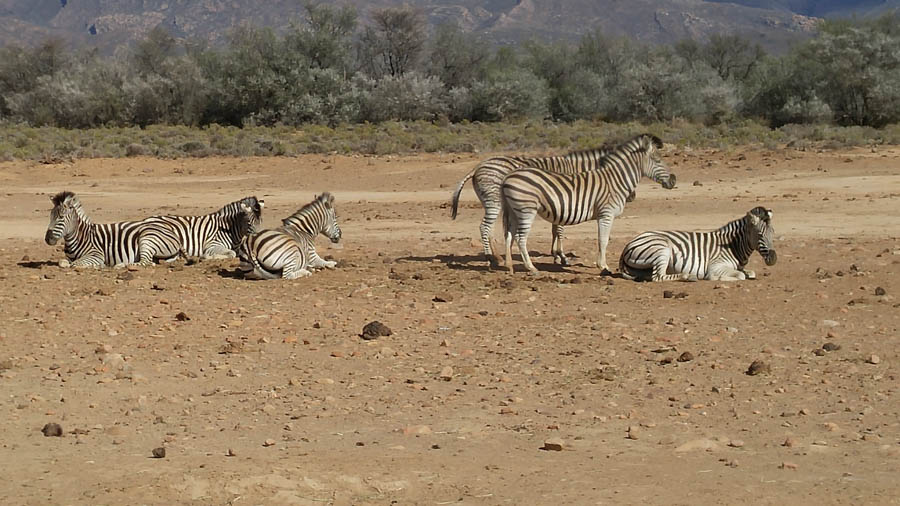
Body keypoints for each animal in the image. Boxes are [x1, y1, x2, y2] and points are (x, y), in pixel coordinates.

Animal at [448, 143, 632, 266]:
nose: (631, 197)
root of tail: (478, 167)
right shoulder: (566, 200)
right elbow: (560, 230)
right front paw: (562, 256)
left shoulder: (561, 204)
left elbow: (555, 229)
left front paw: (556, 255)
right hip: (494, 200)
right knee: (484, 227)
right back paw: (491, 258)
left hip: (491, 201)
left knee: (490, 227)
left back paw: (498, 256)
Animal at [500, 133, 676, 276]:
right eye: (658, 160)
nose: (673, 180)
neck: (615, 180)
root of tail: (508, 177)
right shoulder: (606, 214)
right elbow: (603, 240)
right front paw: (603, 266)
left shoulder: (602, 215)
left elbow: (602, 239)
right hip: (526, 210)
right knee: (520, 238)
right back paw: (531, 268)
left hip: (514, 211)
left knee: (509, 236)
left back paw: (509, 267)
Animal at [620, 208, 780, 282]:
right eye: (760, 235)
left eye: (773, 233)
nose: (773, 259)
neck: (734, 246)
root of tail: (628, 244)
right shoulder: (716, 265)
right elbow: (740, 276)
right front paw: (717, 278)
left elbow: (750, 273)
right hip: (662, 249)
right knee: (657, 277)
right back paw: (688, 276)